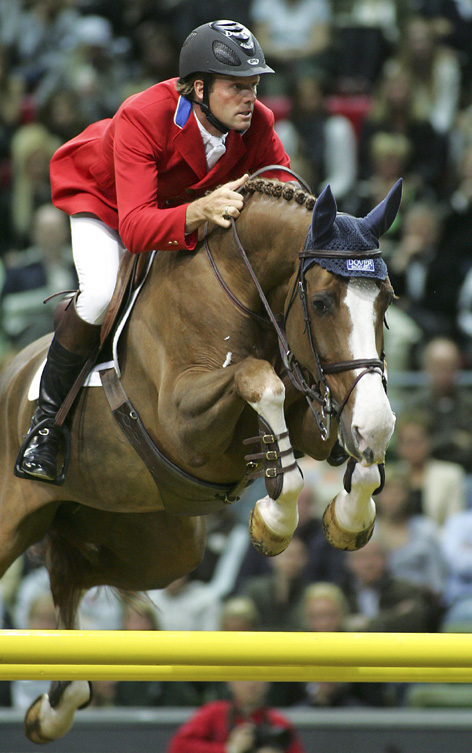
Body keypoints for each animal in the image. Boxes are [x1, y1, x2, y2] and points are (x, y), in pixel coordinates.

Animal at [0, 173, 400, 744]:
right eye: (323, 302)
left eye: (386, 301)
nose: (374, 420)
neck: (242, 289)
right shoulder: (182, 421)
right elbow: (260, 379)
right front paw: (276, 517)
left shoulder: (320, 402)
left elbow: (343, 440)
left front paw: (347, 515)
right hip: (14, 519)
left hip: (156, 545)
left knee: (70, 576)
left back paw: (57, 705)